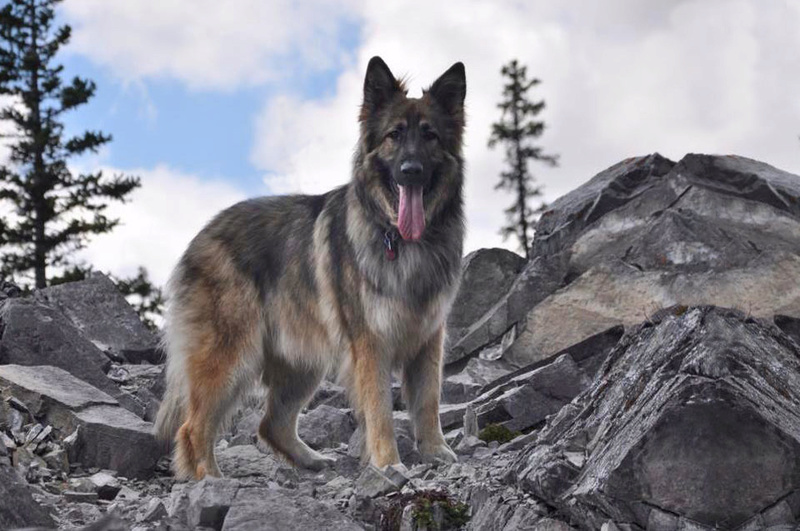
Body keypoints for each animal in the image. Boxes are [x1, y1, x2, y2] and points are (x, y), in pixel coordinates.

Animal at [154, 56, 466, 480]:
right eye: (394, 135)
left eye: (430, 135)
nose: (411, 170)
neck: (402, 240)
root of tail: (201, 235)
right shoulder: (371, 346)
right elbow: (381, 411)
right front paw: (389, 463)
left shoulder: (427, 341)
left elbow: (428, 402)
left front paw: (435, 451)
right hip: (231, 356)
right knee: (193, 428)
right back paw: (210, 480)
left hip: (300, 365)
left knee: (271, 424)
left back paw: (310, 460)